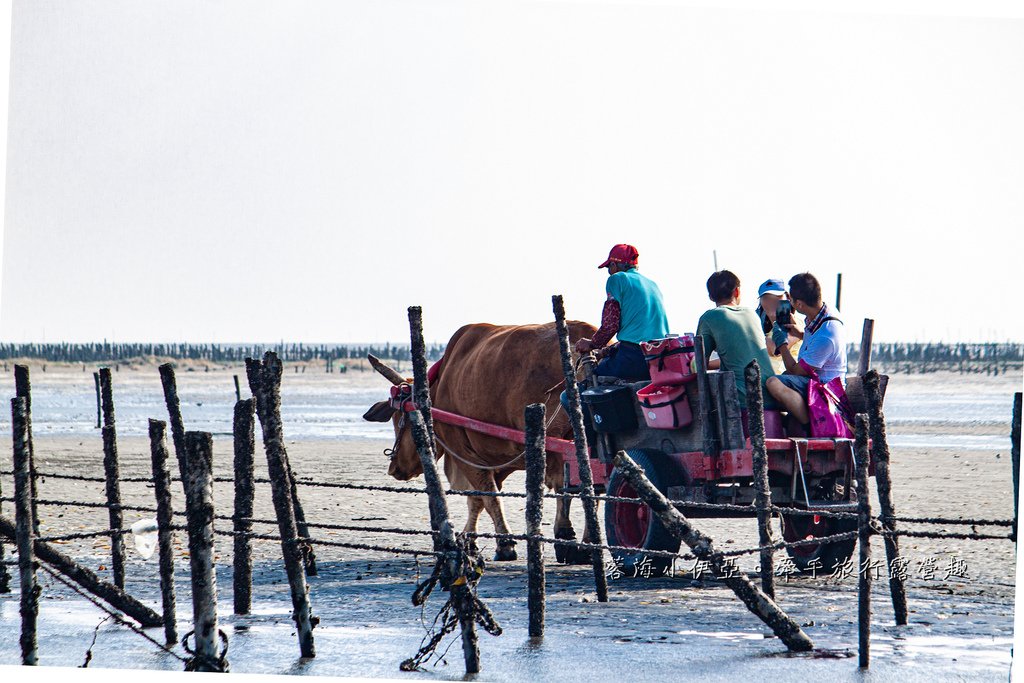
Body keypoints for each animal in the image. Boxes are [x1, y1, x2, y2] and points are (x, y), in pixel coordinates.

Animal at [362, 323, 598, 565]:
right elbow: (479, 500)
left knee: (567, 487)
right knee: (587, 488)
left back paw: (569, 539)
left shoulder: (463, 452)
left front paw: (503, 544)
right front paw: (469, 540)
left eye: (398, 418)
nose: (394, 468)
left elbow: (487, 497)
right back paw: (586, 545)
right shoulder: (492, 460)